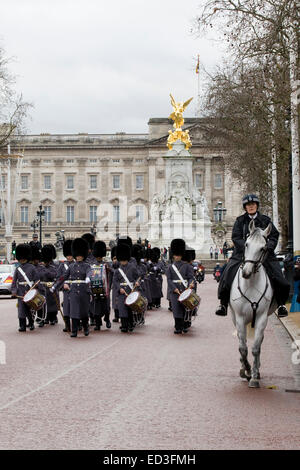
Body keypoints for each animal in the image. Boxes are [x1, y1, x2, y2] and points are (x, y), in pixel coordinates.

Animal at [230, 220, 276, 390]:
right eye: (246, 244)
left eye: (263, 248)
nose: (246, 273)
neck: (251, 284)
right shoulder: (240, 318)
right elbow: (243, 348)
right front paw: (246, 370)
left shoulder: (262, 317)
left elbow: (255, 348)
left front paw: (254, 376)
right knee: (241, 342)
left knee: (259, 342)